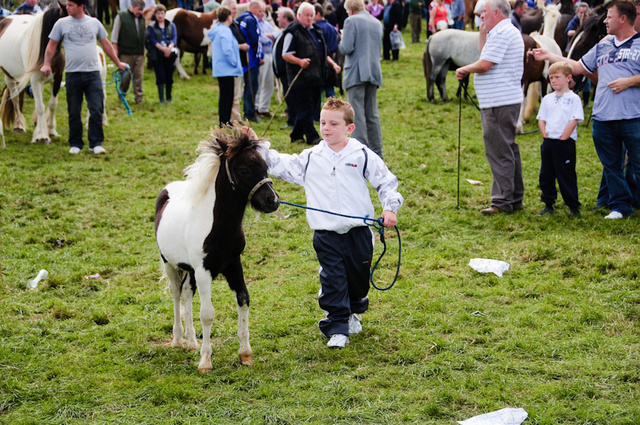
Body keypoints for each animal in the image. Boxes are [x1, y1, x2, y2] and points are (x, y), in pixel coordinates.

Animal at [155, 126, 280, 372]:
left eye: (265, 166)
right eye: (243, 169)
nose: (272, 201)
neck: (219, 227)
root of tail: (167, 190)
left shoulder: (233, 264)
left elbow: (243, 299)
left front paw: (245, 354)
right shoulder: (204, 271)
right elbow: (207, 314)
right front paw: (205, 361)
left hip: (190, 269)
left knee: (186, 292)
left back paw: (191, 342)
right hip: (170, 263)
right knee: (176, 293)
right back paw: (178, 340)